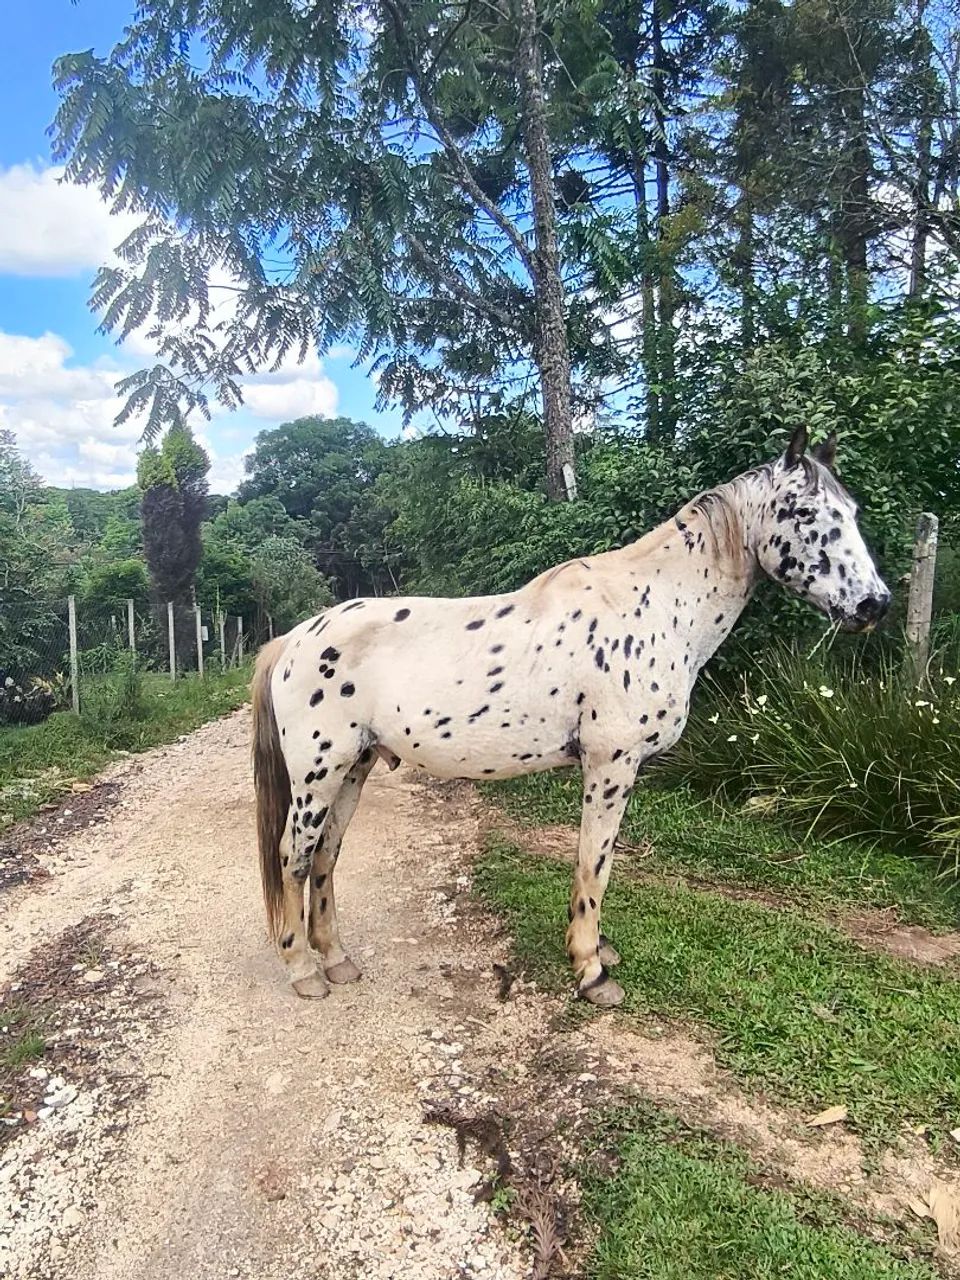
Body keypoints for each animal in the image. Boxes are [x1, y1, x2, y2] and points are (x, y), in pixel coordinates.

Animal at [251, 426, 889, 1007]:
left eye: (852, 510)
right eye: (803, 511)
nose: (874, 604)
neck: (655, 608)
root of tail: (293, 640)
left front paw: (597, 951)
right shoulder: (611, 765)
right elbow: (594, 863)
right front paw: (591, 969)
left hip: (354, 768)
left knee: (325, 855)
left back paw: (336, 960)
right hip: (318, 774)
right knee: (293, 857)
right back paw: (303, 971)